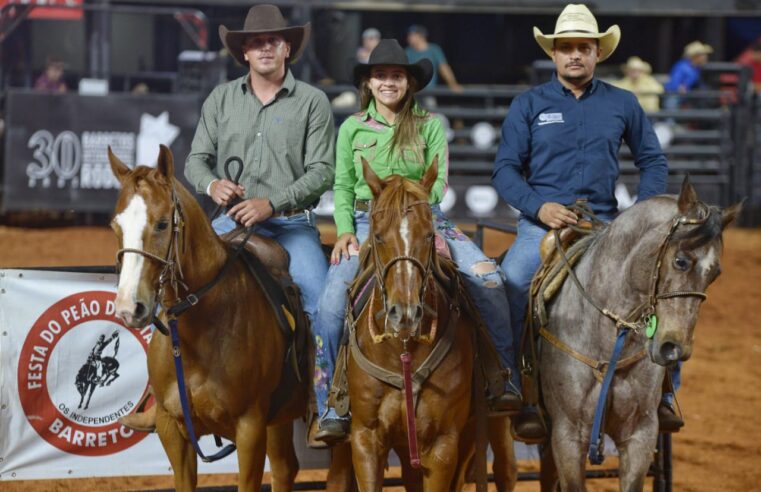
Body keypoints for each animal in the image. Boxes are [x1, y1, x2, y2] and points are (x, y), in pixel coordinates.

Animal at [107, 147, 308, 492]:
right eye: (115, 226)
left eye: (162, 224)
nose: (128, 308)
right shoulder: (171, 429)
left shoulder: (250, 428)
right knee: (286, 468)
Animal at [342, 160, 512, 490]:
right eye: (378, 236)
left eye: (429, 235)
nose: (405, 313)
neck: (402, 350)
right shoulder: (365, 438)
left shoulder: (442, 444)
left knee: (505, 470)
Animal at [536, 181, 740, 492]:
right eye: (681, 261)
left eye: (715, 273)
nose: (675, 349)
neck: (608, 338)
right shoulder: (567, 435)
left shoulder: (640, 435)